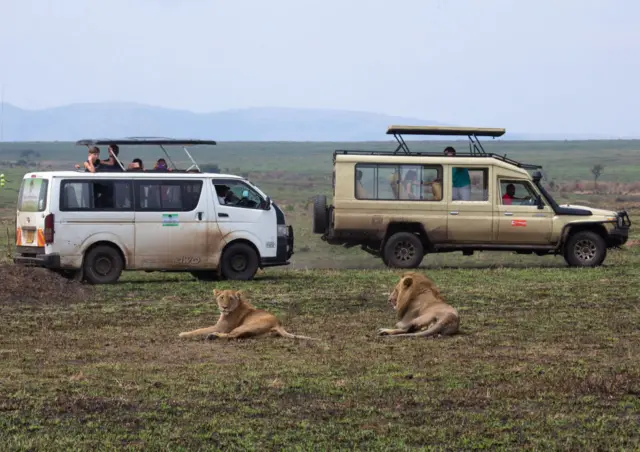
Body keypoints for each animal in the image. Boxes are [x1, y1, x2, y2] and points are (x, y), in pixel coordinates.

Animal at [178, 288, 318, 340]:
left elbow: (199, 330)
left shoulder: (220, 327)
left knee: (232, 336)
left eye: (231, 298)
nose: (224, 307)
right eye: (221, 297)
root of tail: (278, 323)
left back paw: (213, 336)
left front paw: (183, 333)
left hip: (244, 325)